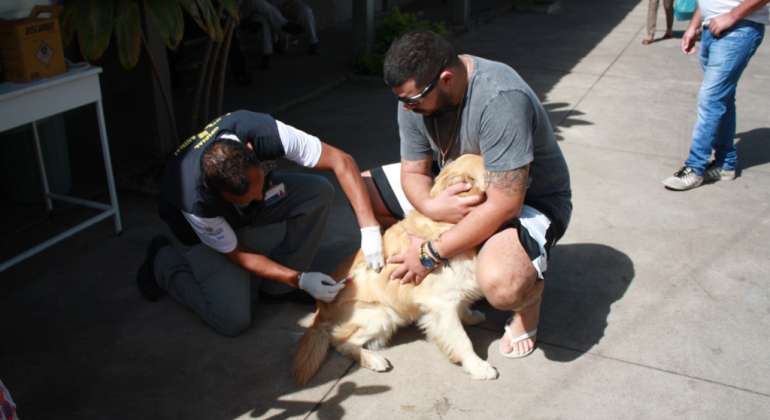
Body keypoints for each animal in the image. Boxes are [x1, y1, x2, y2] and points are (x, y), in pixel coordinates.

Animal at [292, 154, 496, 384]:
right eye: (488, 167)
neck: (447, 226)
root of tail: (321, 309)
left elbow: (462, 307)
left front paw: (471, 316)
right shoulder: (441, 304)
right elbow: (461, 339)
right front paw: (478, 366)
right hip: (382, 314)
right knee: (340, 340)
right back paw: (373, 359)